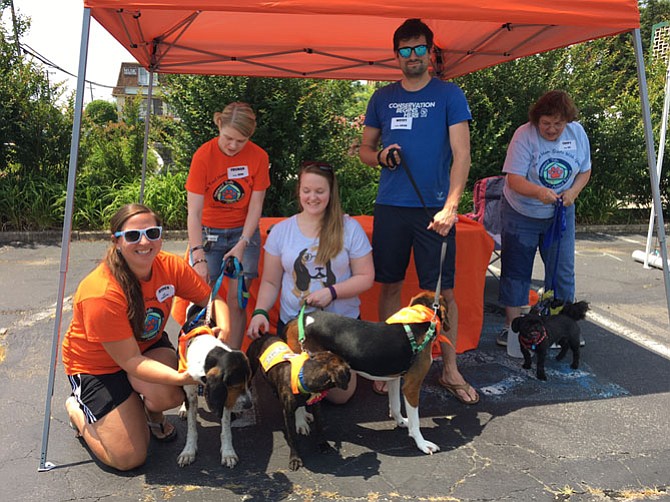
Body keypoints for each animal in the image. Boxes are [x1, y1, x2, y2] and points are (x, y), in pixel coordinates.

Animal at [177, 298, 253, 466]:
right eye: (236, 385)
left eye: (248, 382)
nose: (249, 404)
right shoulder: (192, 392)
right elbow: (191, 428)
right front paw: (188, 451)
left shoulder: (224, 395)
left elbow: (226, 429)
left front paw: (228, 452)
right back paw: (183, 408)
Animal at [247, 334, 352, 470]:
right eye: (347, 369)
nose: (351, 368)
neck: (301, 378)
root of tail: (264, 335)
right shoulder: (288, 413)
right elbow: (292, 438)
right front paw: (295, 458)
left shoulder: (316, 406)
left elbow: (319, 425)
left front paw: (322, 444)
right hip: (251, 366)